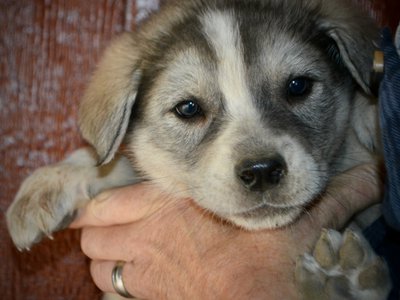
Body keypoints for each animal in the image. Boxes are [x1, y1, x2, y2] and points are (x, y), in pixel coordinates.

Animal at [6, 0, 392, 298]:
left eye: (298, 86)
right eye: (188, 108)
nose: (261, 172)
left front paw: (370, 112)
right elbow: (114, 161)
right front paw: (50, 183)